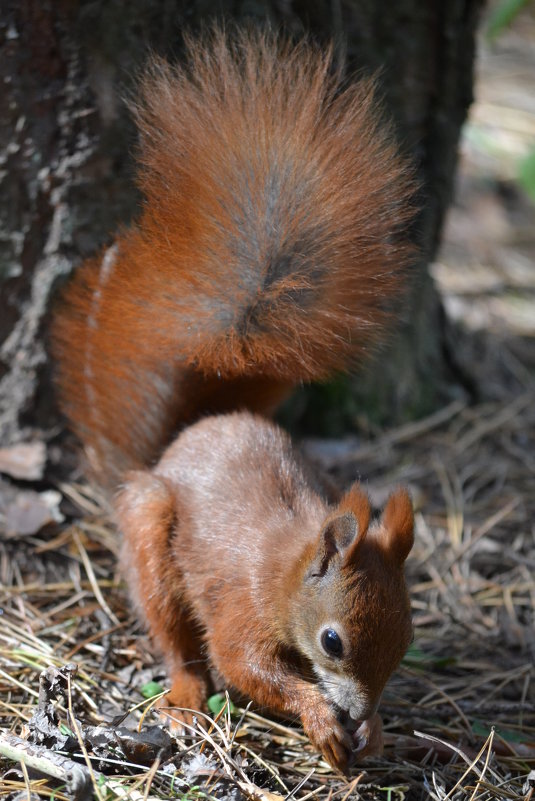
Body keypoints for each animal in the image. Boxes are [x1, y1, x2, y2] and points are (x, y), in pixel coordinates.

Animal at [50, 28, 418, 772]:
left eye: (408, 640)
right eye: (332, 641)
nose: (358, 709)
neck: (287, 570)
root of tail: (185, 433)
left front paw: (373, 728)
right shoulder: (241, 606)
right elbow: (242, 664)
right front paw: (320, 715)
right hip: (151, 536)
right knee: (177, 640)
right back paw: (185, 694)